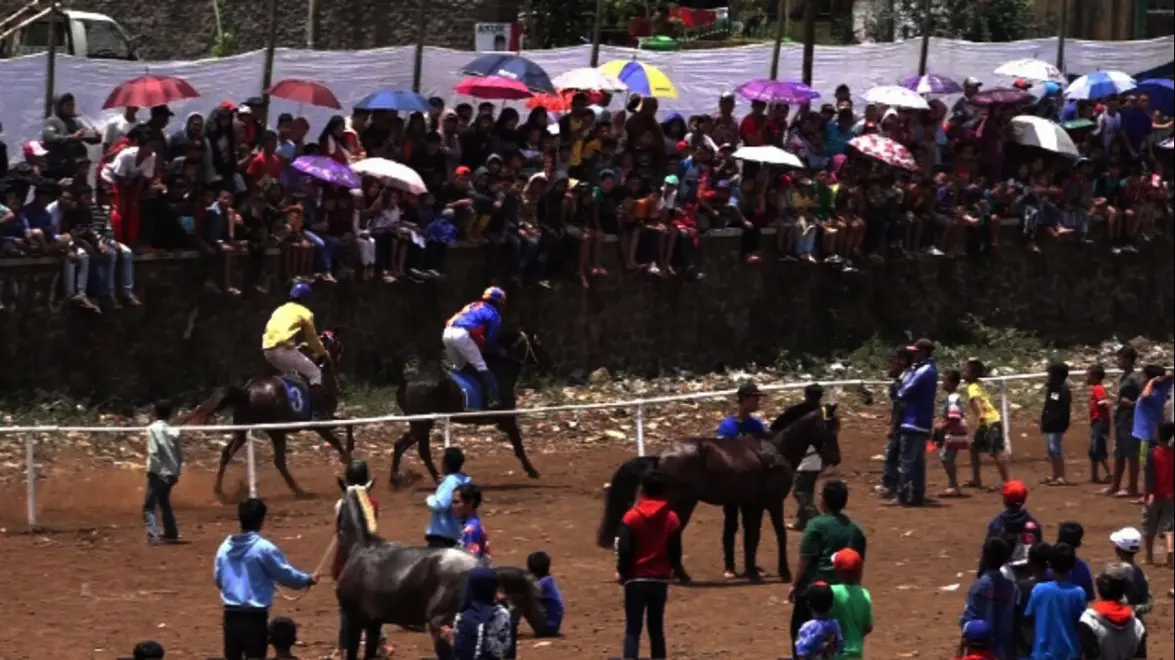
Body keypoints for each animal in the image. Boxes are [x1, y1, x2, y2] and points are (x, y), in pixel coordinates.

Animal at [185, 331, 352, 495]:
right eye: (337, 344)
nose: (342, 351)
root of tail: (247, 392)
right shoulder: (320, 423)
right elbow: (338, 435)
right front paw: (346, 456)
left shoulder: (326, 418)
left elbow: (347, 421)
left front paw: (348, 451)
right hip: (275, 431)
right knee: (279, 462)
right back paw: (300, 491)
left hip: (243, 430)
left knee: (226, 452)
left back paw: (219, 490)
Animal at [387, 326, 547, 483]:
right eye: (537, 343)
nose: (544, 362)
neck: (499, 371)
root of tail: (406, 383)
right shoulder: (508, 419)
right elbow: (518, 446)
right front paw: (532, 471)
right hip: (421, 423)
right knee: (406, 447)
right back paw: (401, 479)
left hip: (423, 424)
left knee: (415, 449)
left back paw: (427, 478)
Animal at [601, 406, 841, 580]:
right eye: (829, 429)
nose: (835, 458)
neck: (775, 450)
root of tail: (660, 457)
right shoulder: (772, 502)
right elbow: (777, 534)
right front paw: (784, 572)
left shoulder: (751, 504)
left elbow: (751, 535)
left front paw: (751, 570)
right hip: (683, 503)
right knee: (673, 533)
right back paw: (680, 574)